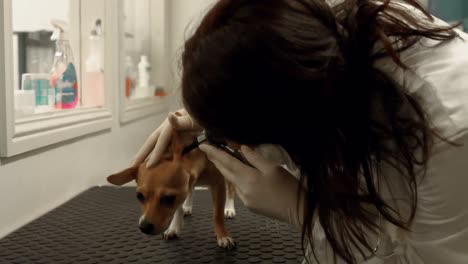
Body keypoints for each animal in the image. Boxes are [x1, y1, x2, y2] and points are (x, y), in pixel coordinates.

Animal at [108, 127, 236, 249]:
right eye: (139, 196)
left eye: (168, 198)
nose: (144, 227)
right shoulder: (183, 189)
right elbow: (178, 208)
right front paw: (174, 226)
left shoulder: (218, 184)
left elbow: (217, 215)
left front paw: (223, 235)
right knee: (191, 189)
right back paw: (187, 206)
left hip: (229, 171)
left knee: (230, 191)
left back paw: (229, 208)